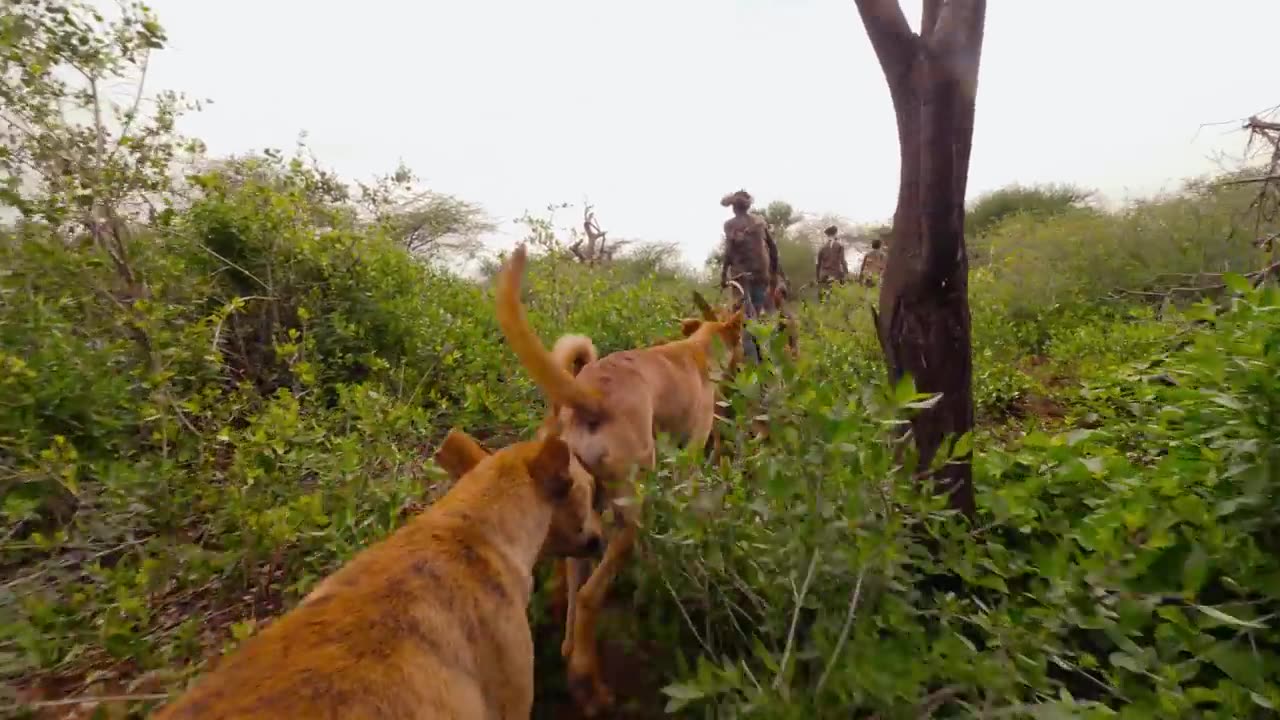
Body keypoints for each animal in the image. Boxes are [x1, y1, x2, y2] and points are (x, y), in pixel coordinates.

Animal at [494, 242, 747, 712]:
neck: (698, 349)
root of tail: (590, 394)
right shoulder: (690, 453)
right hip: (631, 506)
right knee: (591, 594)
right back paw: (589, 684)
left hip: (581, 511)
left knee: (574, 584)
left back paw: (571, 653)